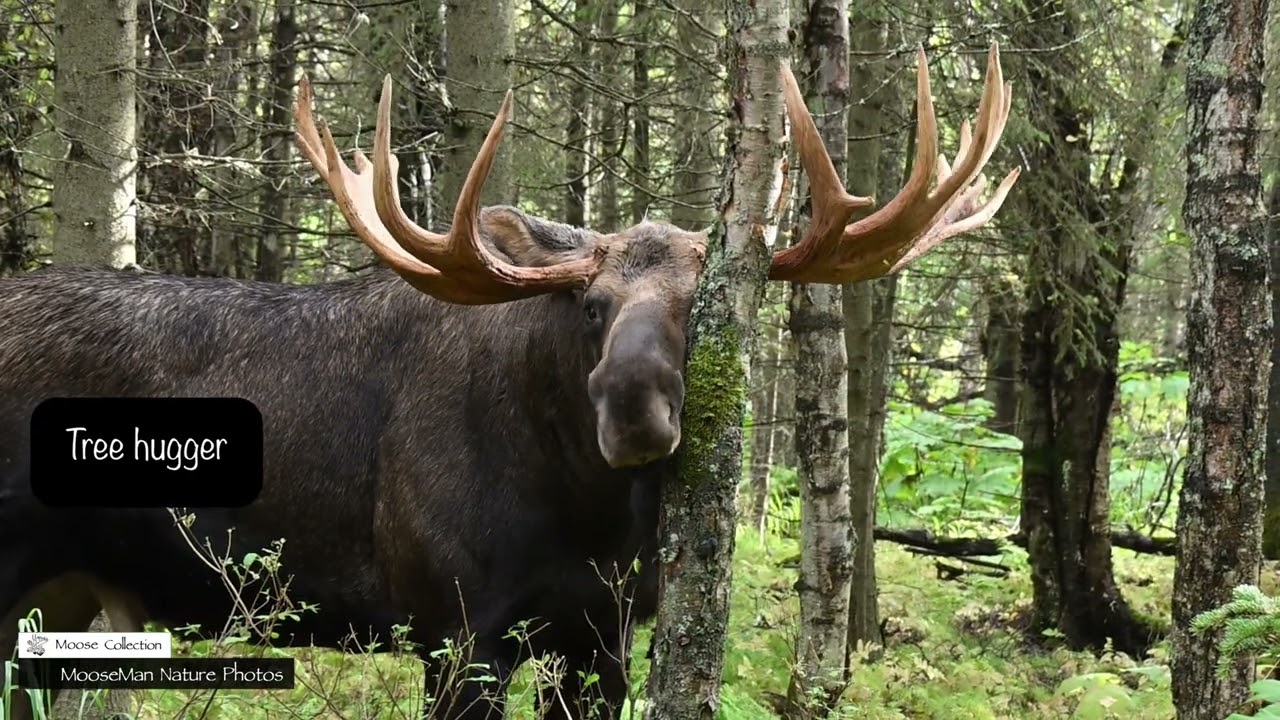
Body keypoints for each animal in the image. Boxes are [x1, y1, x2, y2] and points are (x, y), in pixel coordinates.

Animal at [0, 43, 1018, 720]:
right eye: (591, 306)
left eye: (710, 307)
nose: (634, 414)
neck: (586, 520)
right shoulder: (457, 627)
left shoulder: (605, 636)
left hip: (69, 597)